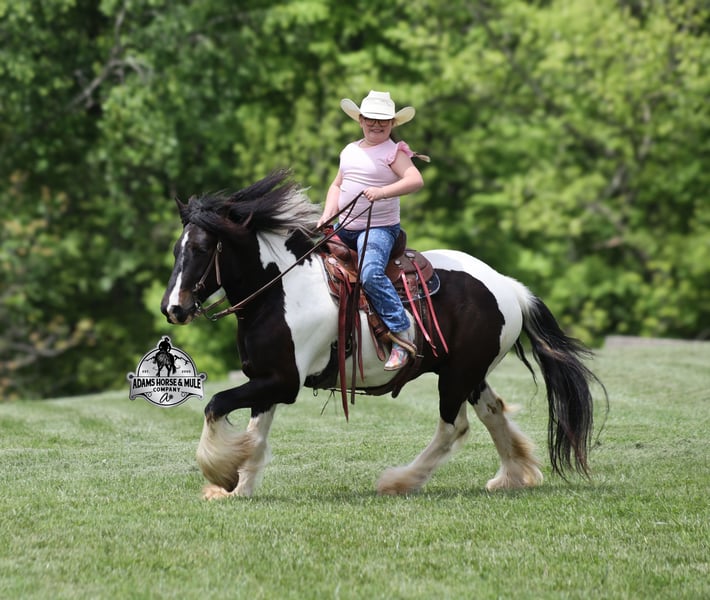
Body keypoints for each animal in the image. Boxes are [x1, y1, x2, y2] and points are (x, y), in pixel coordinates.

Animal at [160, 170, 604, 500]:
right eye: (176, 250)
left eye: (201, 249)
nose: (173, 308)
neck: (281, 290)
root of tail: (509, 287)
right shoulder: (266, 379)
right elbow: (255, 435)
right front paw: (240, 488)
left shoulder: (282, 383)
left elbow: (215, 404)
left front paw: (222, 477)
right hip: (470, 373)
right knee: (492, 412)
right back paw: (512, 476)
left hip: (456, 376)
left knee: (452, 427)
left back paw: (400, 481)